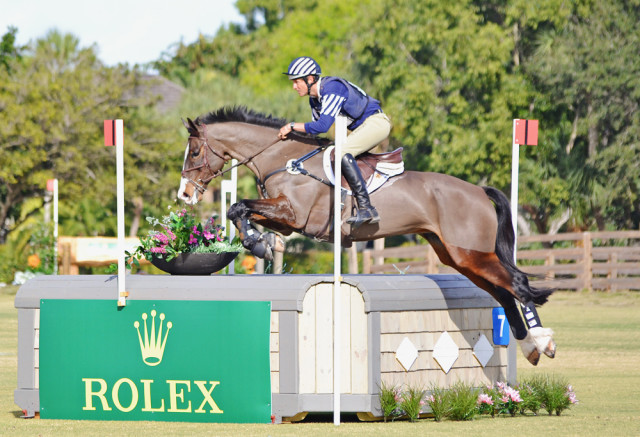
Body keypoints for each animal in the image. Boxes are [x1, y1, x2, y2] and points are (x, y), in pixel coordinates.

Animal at [178, 105, 556, 364]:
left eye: (194, 152)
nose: (185, 195)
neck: (283, 159)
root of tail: (478, 190)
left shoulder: (293, 214)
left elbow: (239, 207)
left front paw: (257, 245)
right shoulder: (285, 221)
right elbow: (238, 209)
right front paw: (258, 244)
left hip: (471, 253)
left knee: (518, 283)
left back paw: (542, 341)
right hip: (458, 257)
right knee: (504, 292)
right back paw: (530, 346)